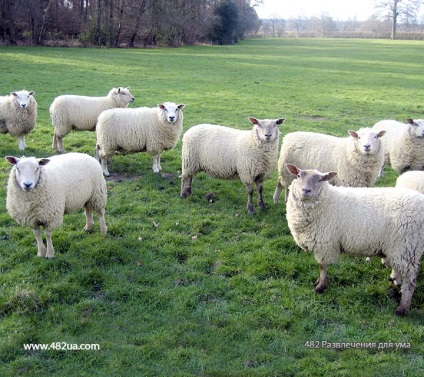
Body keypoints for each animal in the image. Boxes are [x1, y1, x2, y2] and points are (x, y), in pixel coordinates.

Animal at [284, 164, 424, 314]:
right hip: (399, 249)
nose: (306, 190)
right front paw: (318, 282)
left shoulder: (325, 244)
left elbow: (323, 267)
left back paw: (402, 309)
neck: (327, 201)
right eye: (298, 175)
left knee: (410, 282)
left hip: (407, 247)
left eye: (320, 179)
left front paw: (321, 286)